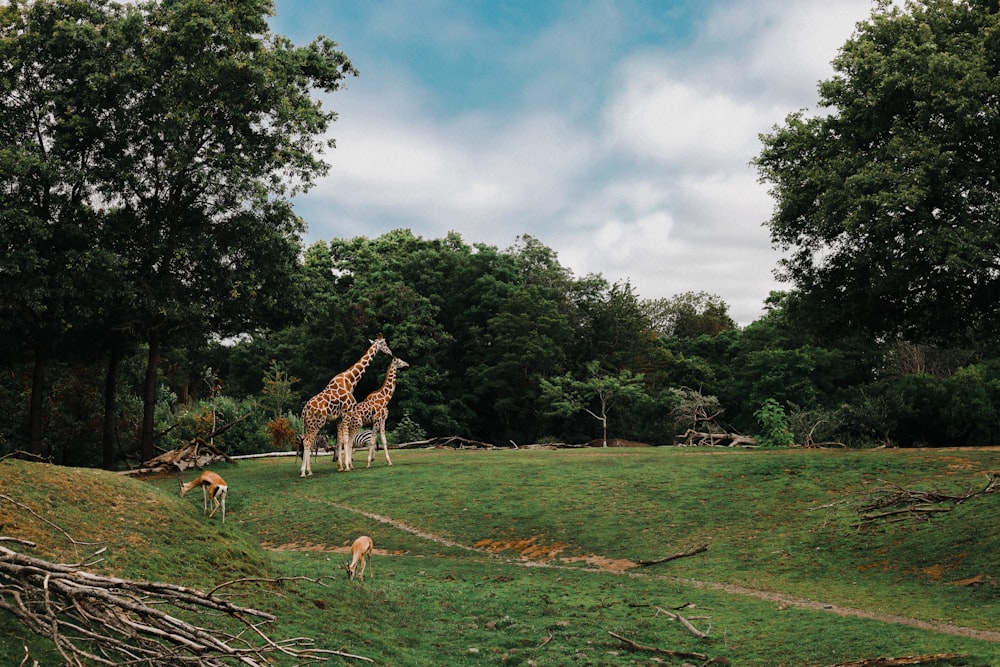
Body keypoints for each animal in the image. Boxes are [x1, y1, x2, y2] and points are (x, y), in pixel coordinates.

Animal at [296, 336, 390, 478]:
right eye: (384, 343)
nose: (390, 352)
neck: (350, 380)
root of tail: (304, 411)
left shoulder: (339, 417)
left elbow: (339, 440)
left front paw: (340, 466)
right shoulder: (347, 412)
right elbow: (346, 440)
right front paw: (347, 466)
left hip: (308, 424)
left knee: (307, 443)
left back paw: (309, 471)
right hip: (316, 423)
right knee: (307, 442)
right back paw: (303, 472)